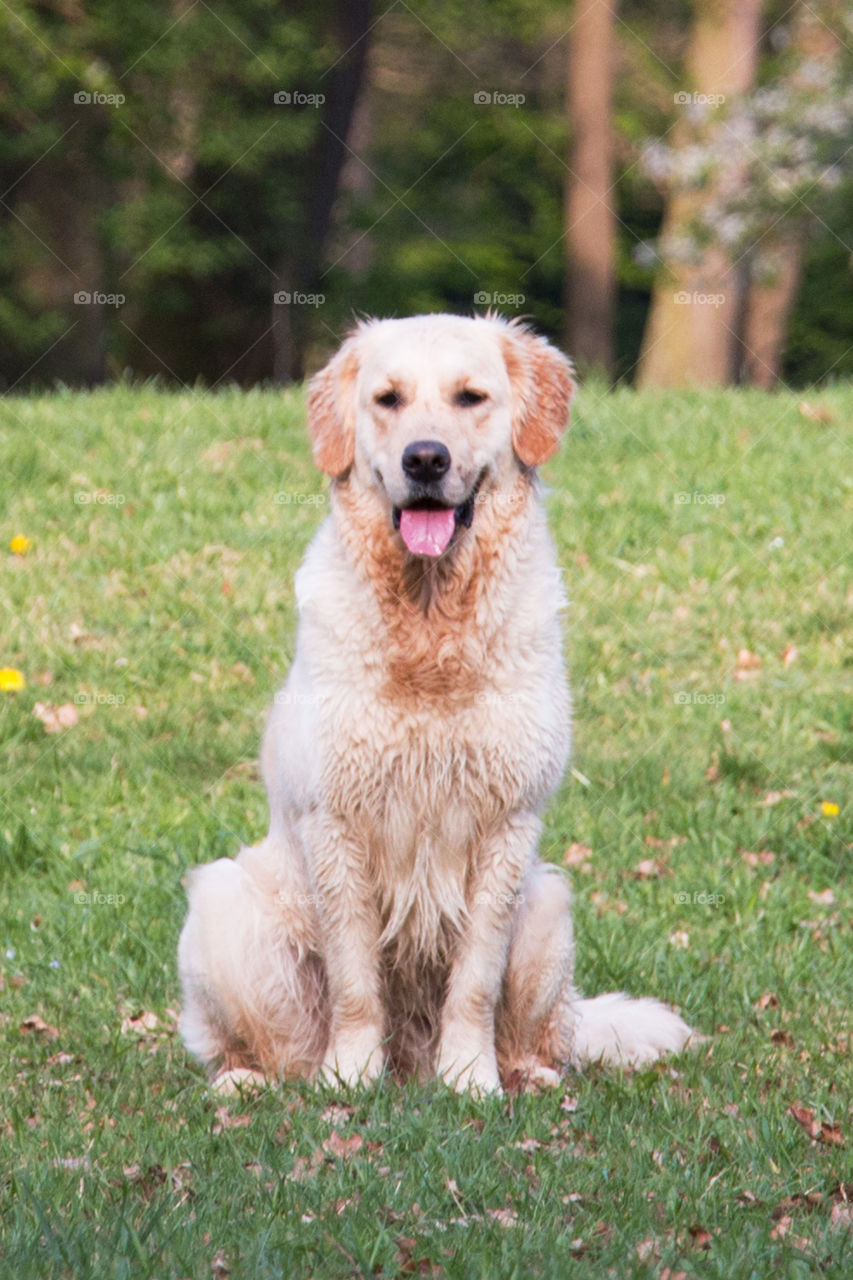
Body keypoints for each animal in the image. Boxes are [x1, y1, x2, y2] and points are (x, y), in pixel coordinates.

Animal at [175, 314, 696, 1095]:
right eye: (387, 398)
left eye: (470, 397)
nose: (424, 459)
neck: (429, 620)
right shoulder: (336, 822)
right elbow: (355, 980)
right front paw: (350, 1077)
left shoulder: (508, 824)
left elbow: (474, 980)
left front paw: (471, 1079)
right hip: (223, 903)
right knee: (274, 1049)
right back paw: (253, 1082)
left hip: (549, 903)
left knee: (546, 1030)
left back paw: (526, 1075)